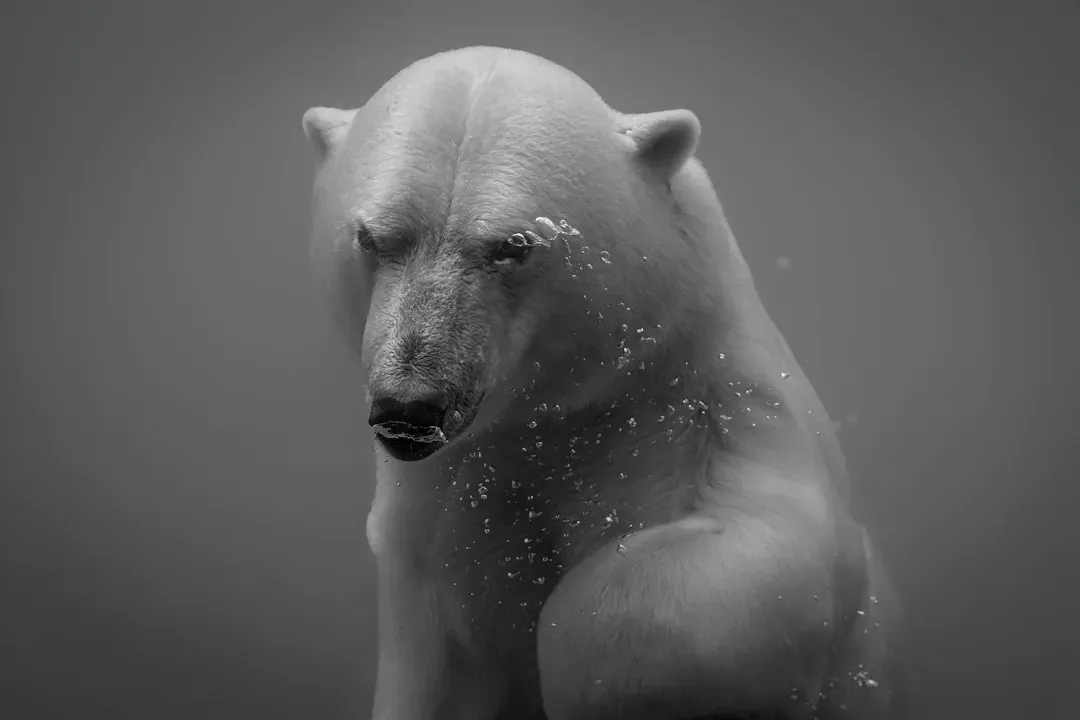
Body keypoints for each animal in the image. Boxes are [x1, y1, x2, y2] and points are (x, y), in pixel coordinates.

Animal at [302, 46, 907, 720]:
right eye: (372, 237)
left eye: (513, 246)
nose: (411, 406)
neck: (572, 412)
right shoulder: (439, 507)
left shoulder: (723, 419)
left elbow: (705, 582)